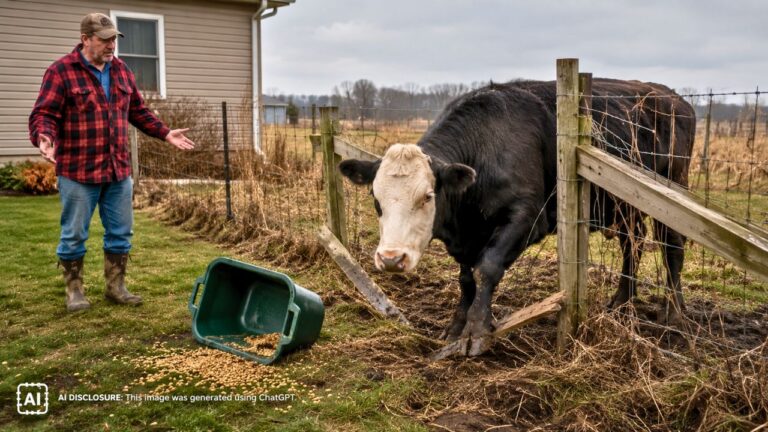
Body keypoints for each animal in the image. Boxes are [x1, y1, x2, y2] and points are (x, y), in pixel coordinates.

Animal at [339, 79, 696, 356]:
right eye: (375, 198)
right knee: (632, 243)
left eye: (427, 196)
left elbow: (488, 267)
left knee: (672, 247)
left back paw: (675, 314)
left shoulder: (526, 216)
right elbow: (466, 279)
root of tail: (671, 96)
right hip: (622, 205)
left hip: (670, 191)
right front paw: (456, 326)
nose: (390, 259)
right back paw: (621, 301)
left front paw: (477, 330)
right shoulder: (467, 238)